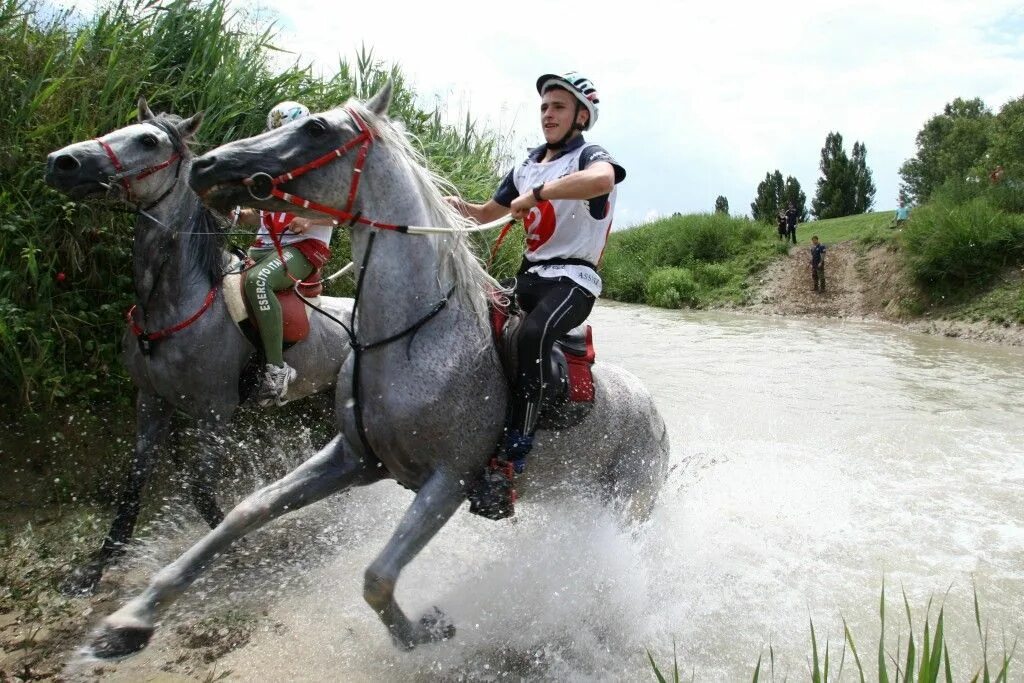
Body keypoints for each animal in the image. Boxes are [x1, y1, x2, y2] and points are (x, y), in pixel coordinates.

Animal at [44, 98, 354, 593]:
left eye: (147, 140)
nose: (62, 162)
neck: (174, 304)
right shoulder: (150, 401)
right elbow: (134, 484)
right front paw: (96, 569)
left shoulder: (215, 413)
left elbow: (199, 488)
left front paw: (236, 552)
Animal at [90, 85, 671, 655]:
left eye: (316, 128)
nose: (208, 165)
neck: (412, 339)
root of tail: (656, 415)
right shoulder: (353, 458)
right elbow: (246, 512)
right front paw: (130, 619)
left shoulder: (449, 481)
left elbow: (377, 576)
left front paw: (420, 633)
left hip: (626, 506)